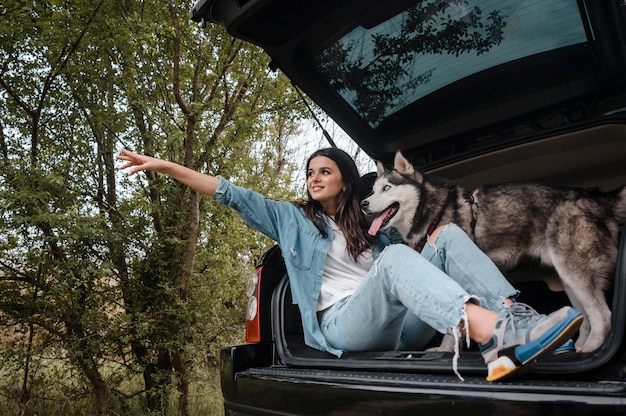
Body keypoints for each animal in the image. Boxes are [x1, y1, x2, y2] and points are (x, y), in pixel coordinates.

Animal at [360, 150, 624, 352]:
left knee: (603, 316)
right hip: (568, 278)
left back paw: (589, 349)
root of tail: (598, 198)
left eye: (387, 188)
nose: (363, 203)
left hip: (575, 273)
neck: (433, 210)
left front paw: (446, 350)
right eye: (373, 190)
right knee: (585, 317)